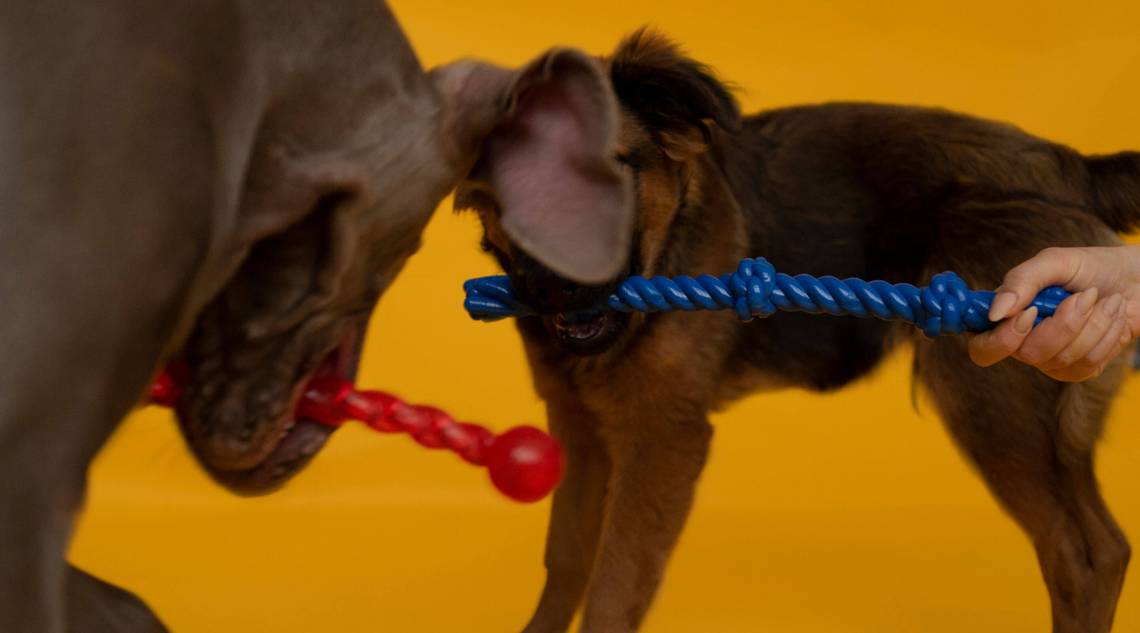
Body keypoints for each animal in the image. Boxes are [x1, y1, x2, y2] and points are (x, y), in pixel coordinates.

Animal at [458, 29, 1135, 633]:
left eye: (608, 175)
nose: (555, 287)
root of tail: (1072, 166)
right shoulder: (579, 425)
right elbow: (569, 559)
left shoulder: (663, 437)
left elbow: (614, 588)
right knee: (1108, 546)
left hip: (993, 397)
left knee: (1080, 557)